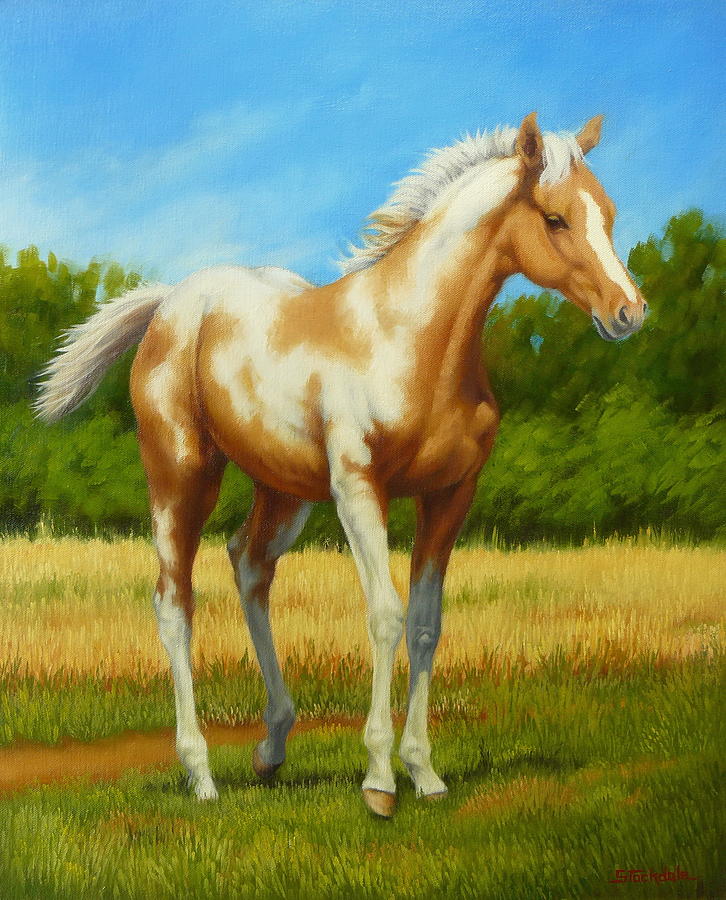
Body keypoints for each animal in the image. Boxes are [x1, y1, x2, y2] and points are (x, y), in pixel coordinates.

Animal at [36, 112, 646, 818]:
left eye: (609, 211)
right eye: (554, 218)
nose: (630, 312)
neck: (411, 338)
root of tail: (170, 304)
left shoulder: (451, 494)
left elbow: (425, 624)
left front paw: (425, 774)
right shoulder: (359, 489)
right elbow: (383, 615)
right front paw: (380, 782)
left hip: (283, 492)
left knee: (249, 566)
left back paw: (272, 750)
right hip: (182, 475)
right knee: (174, 601)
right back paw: (201, 775)